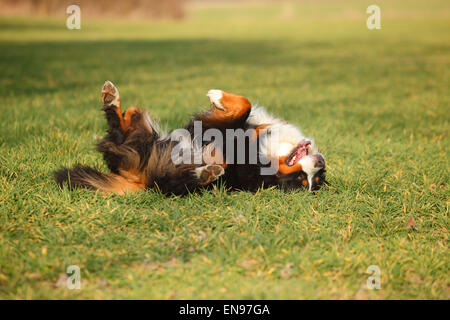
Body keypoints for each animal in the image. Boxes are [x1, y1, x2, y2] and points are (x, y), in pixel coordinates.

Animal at [54, 80, 326, 195]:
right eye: (304, 178)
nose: (321, 162)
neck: (264, 153)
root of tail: (138, 178)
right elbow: (245, 104)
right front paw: (218, 97)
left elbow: (242, 108)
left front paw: (217, 96)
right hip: (147, 130)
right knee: (126, 119)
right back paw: (113, 99)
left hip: (169, 176)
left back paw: (206, 173)